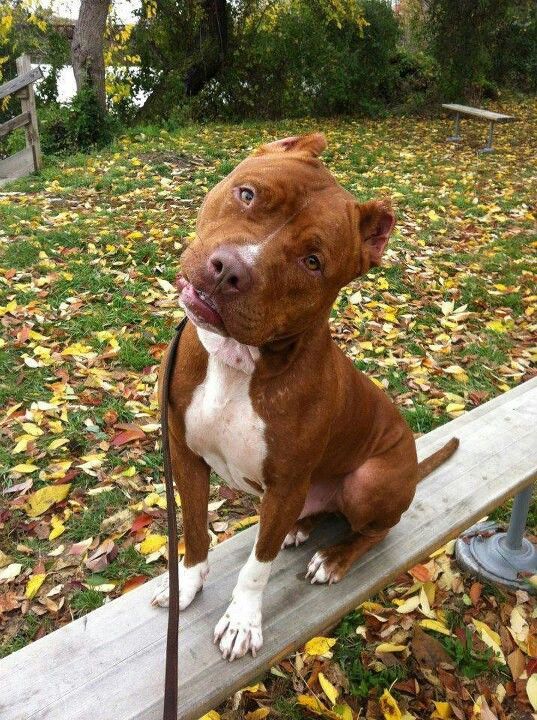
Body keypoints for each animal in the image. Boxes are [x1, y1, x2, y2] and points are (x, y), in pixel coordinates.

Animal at [151, 132, 456, 660]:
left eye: (313, 263)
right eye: (247, 194)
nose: (228, 270)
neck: (238, 362)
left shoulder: (287, 483)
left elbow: (257, 566)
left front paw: (242, 620)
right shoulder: (187, 457)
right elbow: (193, 529)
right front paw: (186, 585)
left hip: (369, 481)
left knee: (376, 529)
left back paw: (334, 557)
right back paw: (300, 528)